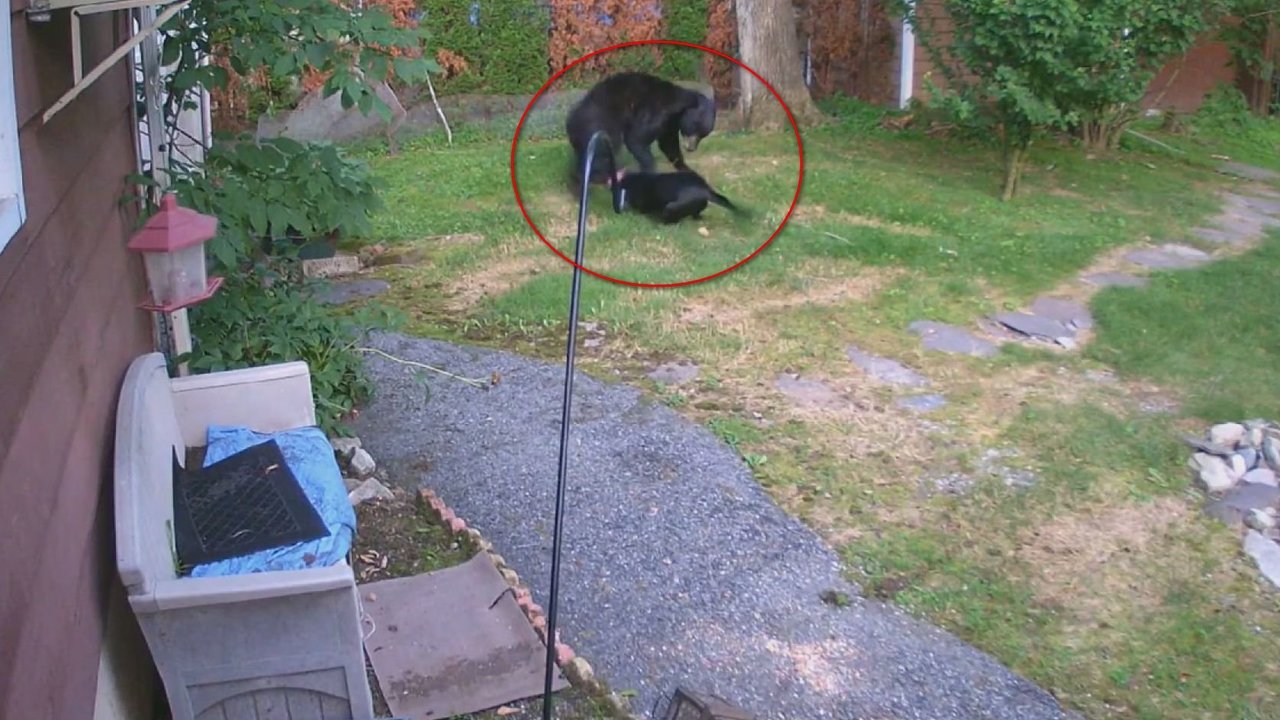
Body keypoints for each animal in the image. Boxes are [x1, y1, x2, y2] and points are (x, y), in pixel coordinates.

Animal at [563, 71, 716, 189]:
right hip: (600, 121)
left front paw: (687, 169)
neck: (680, 107)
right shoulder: (657, 112)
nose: (691, 148)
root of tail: (571, 120)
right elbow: (636, 138)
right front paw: (650, 171)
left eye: (703, 135)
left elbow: (669, 144)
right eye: (695, 128)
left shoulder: (670, 124)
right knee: (605, 149)